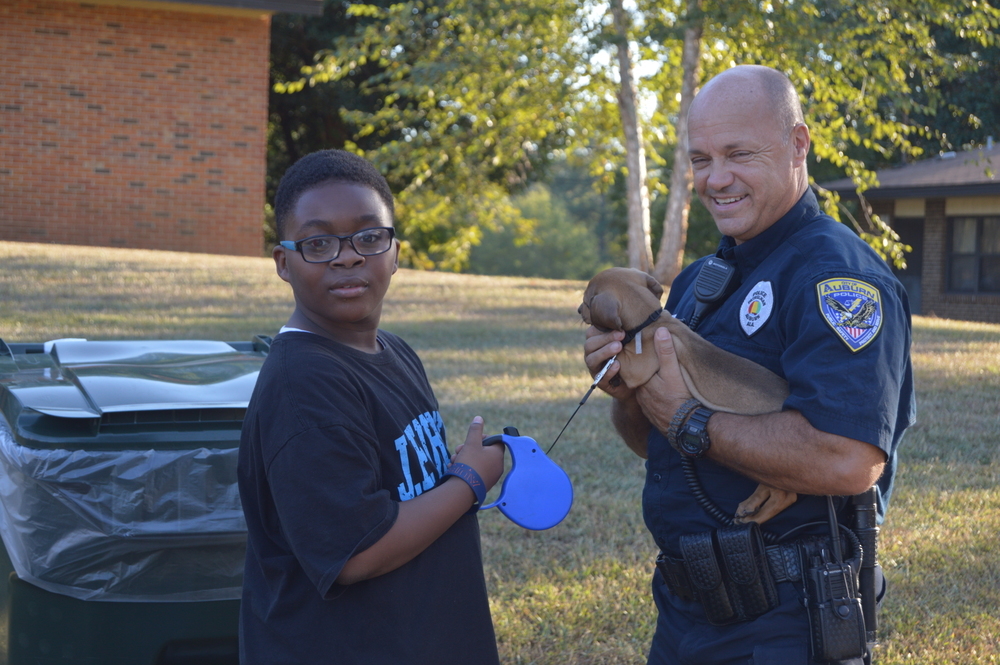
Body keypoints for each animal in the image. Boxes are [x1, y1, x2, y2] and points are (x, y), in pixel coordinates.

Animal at [580, 266, 796, 524]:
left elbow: (621, 355)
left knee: (785, 496)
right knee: (772, 488)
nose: (578, 310)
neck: (650, 322)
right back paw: (748, 506)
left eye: (587, 301)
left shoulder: (638, 367)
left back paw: (754, 518)